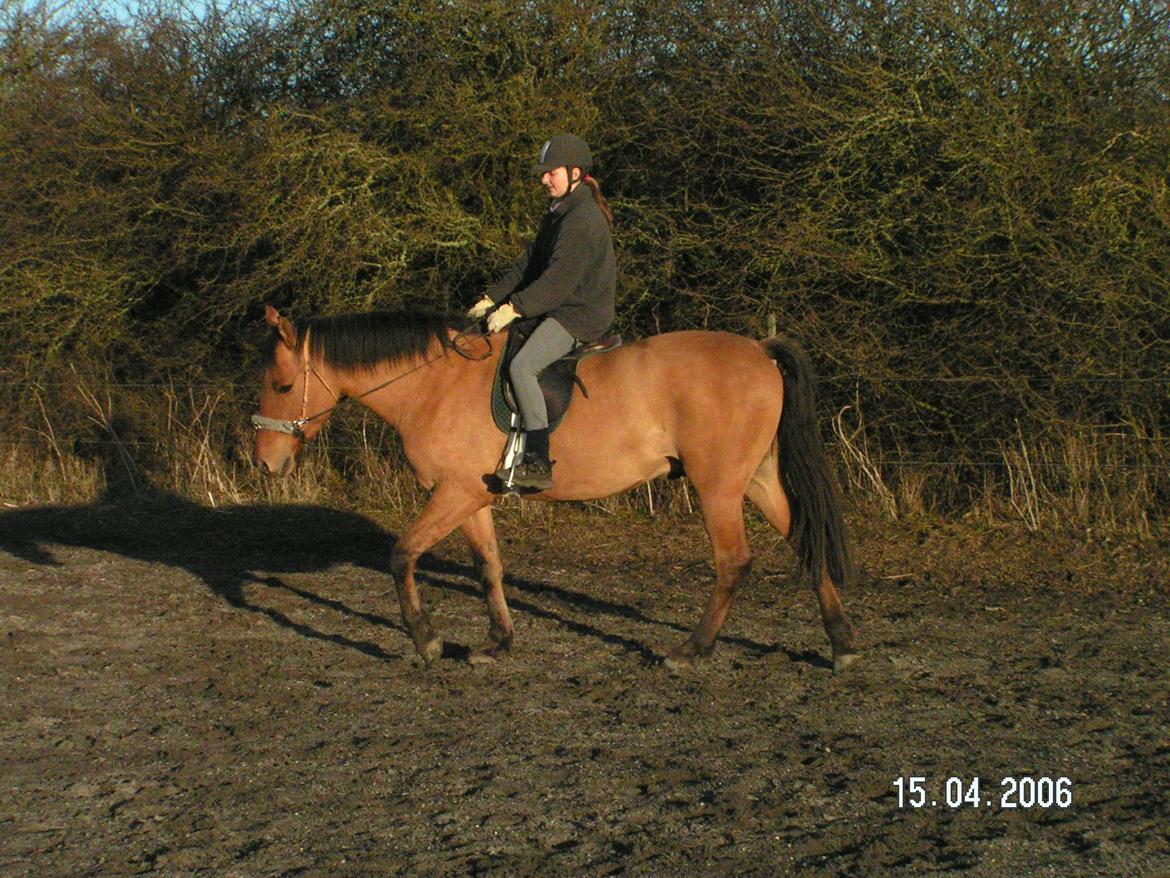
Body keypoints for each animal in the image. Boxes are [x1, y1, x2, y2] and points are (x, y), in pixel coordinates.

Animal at [253, 304, 861, 674]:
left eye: (282, 385)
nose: (265, 461)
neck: (434, 384)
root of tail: (760, 350)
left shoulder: (452, 495)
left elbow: (401, 555)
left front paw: (426, 641)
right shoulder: (471, 497)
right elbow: (488, 568)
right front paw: (497, 642)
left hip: (718, 489)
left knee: (734, 563)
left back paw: (691, 651)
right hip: (756, 479)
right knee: (806, 542)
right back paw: (842, 645)